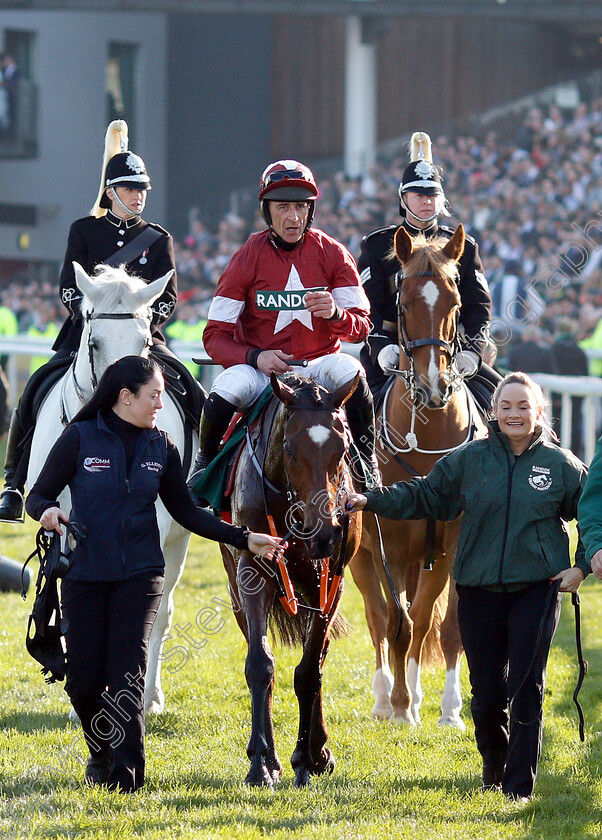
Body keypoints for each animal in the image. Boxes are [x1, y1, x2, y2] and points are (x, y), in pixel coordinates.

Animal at [27, 262, 196, 716]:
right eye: (94, 341)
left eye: (145, 340)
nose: (126, 396)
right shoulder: (66, 531)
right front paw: (80, 700)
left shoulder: (152, 536)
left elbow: (139, 612)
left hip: (177, 543)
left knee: (161, 614)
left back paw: (149, 695)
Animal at [220, 370, 360, 784]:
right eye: (291, 448)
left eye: (343, 447)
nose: (324, 531)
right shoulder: (251, 571)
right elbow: (259, 664)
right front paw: (261, 763)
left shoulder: (333, 581)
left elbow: (310, 671)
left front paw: (305, 758)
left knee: (318, 659)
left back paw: (318, 750)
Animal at [350, 225, 486, 728]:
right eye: (402, 301)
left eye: (455, 302)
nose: (433, 387)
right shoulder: (387, 544)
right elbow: (396, 621)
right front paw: (399, 705)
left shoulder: (450, 545)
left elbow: (438, 624)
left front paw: (448, 710)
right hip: (364, 555)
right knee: (378, 618)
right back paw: (385, 698)